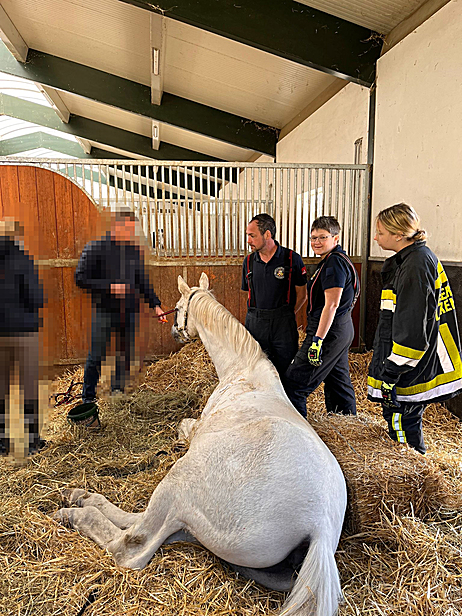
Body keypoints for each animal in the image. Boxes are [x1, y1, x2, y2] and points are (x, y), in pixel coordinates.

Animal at [52, 273, 347, 616]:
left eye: (180, 307)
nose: (173, 330)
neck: (243, 373)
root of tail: (320, 528)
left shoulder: (195, 431)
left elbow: (183, 427)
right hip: (193, 526)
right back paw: (80, 497)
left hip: (178, 487)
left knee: (132, 544)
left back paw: (74, 511)